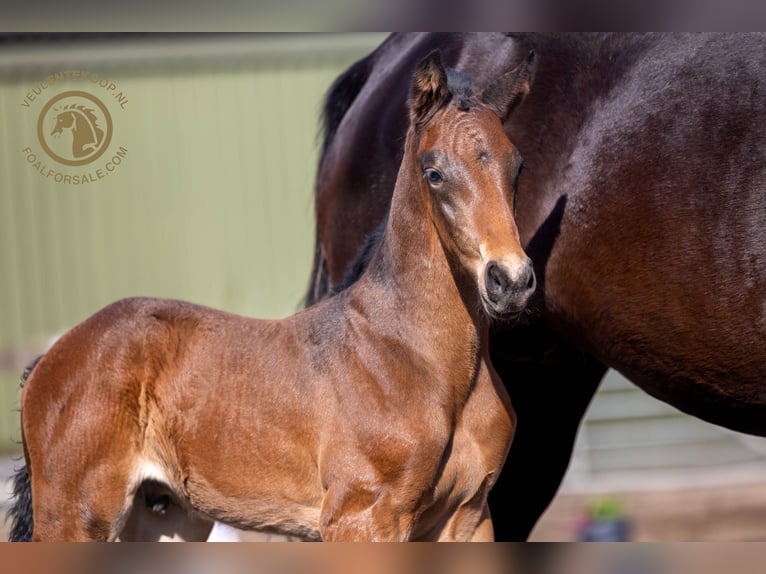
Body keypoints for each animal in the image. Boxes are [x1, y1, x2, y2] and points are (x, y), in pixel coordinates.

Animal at [18, 50, 536, 544]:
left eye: (518, 166)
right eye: (434, 173)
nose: (510, 279)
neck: (417, 358)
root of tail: (51, 356)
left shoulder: (468, 517)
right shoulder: (361, 517)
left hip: (159, 520)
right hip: (75, 515)